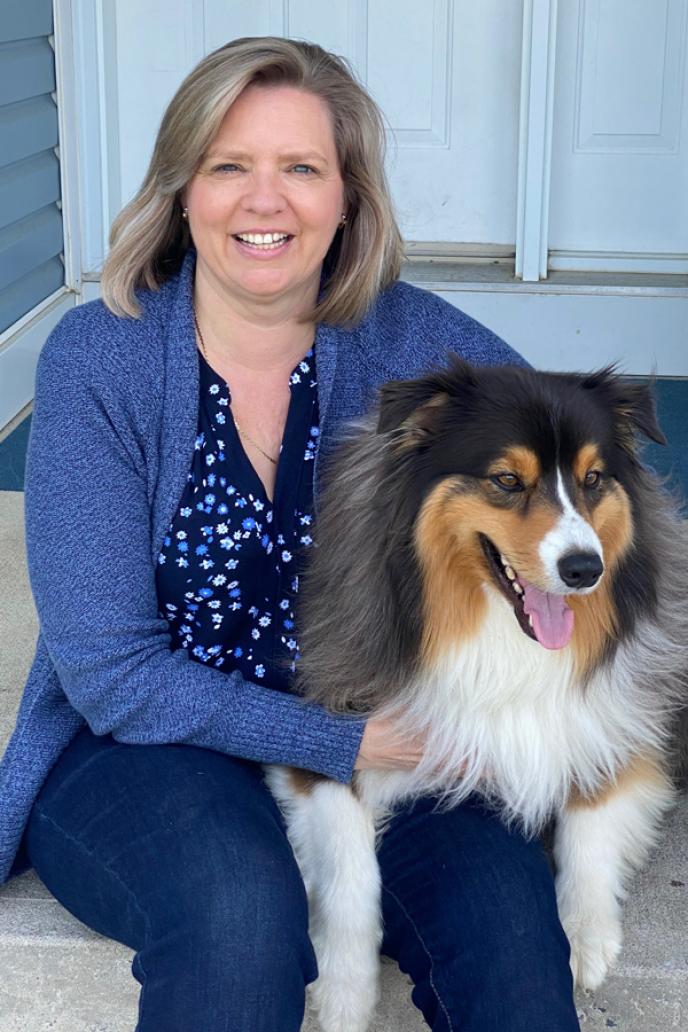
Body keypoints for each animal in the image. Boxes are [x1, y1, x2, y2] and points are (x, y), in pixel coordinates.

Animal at [266, 361, 688, 1032]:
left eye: (593, 479)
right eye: (507, 480)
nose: (585, 569)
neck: (497, 637)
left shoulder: (626, 720)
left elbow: (592, 808)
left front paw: (584, 934)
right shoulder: (318, 732)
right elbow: (349, 865)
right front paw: (342, 990)